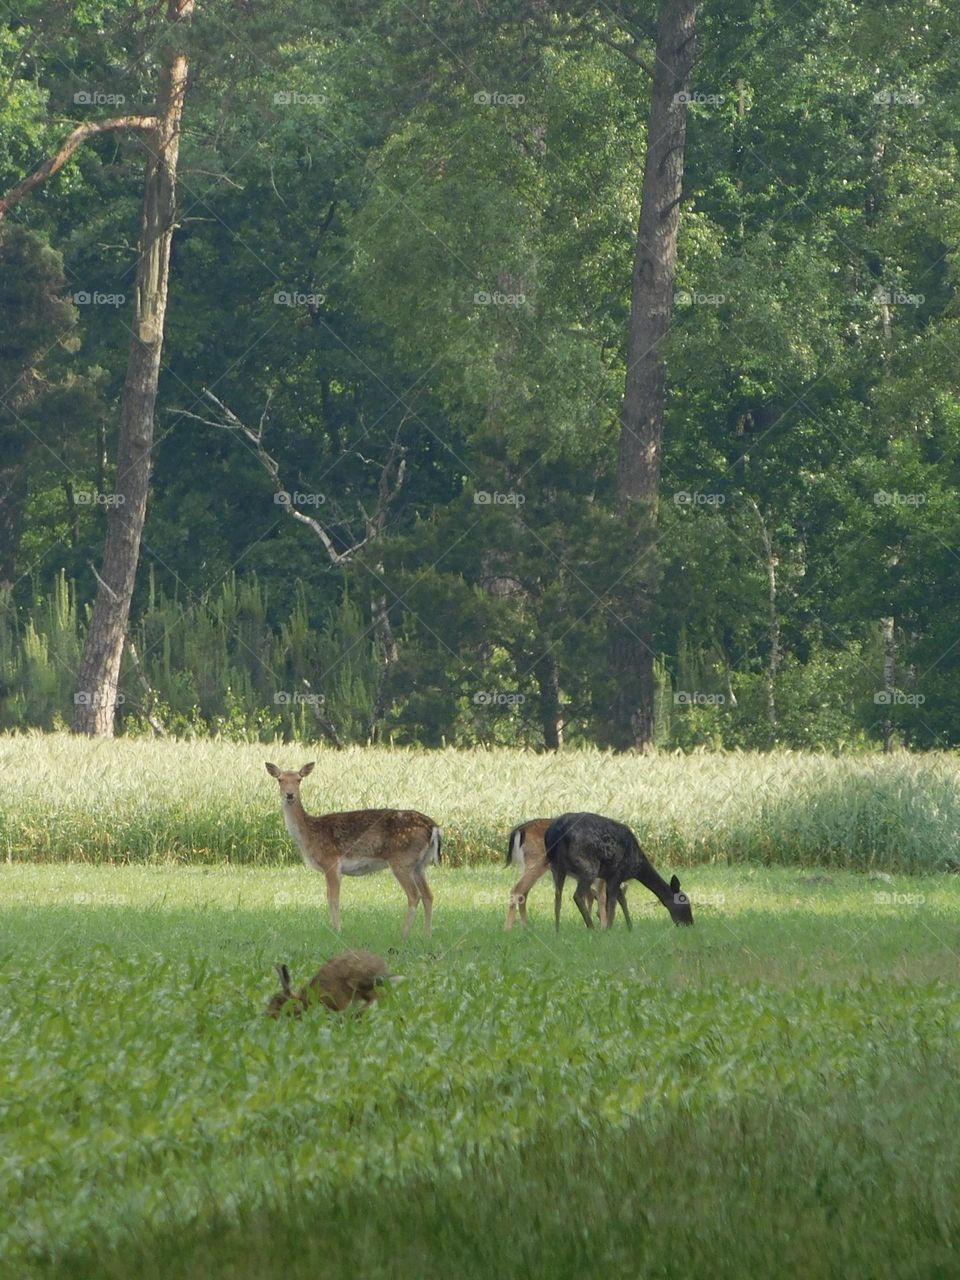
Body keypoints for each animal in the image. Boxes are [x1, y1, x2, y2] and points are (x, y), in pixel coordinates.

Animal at [265, 762, 441, 938]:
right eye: (280, 779)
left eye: (299, 779)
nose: (290, 794)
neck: (309, 833)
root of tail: (433, 826)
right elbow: (329, 897)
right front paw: (334, 928)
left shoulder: (331, 861)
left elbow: (333, 899)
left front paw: (337, 931)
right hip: (420, 864)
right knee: (428, 895)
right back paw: (427, 934)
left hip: (402, 860)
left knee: (414, 895)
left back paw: (403, 934)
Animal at [545, 811, 694, 931]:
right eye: (685, 902)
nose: (690, 923)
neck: (636, 867)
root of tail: (555, 833)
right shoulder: (616, 872)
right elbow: (612, 903)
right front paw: (609, 929)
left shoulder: (611, 876)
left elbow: (622, 899)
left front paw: (630, 927)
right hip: (588, 866)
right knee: (577, 895)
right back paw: (591, 927)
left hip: (556, 868)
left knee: (557, 899)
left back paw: (557, 930)